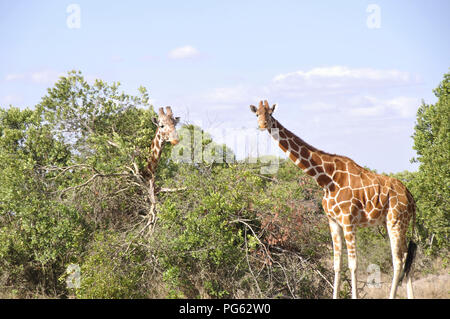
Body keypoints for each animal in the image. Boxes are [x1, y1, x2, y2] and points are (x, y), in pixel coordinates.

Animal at [248, 100, 416, 300]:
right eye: (256, 114)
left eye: (270, 113)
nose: (262, 125)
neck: (326, 179)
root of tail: (410, 197)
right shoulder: (333, 221)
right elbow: (336, 264)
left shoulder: (348, 220)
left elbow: (353, 265)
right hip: (396, 223)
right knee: (406, 257)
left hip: (395, 221)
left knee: (398, 260)